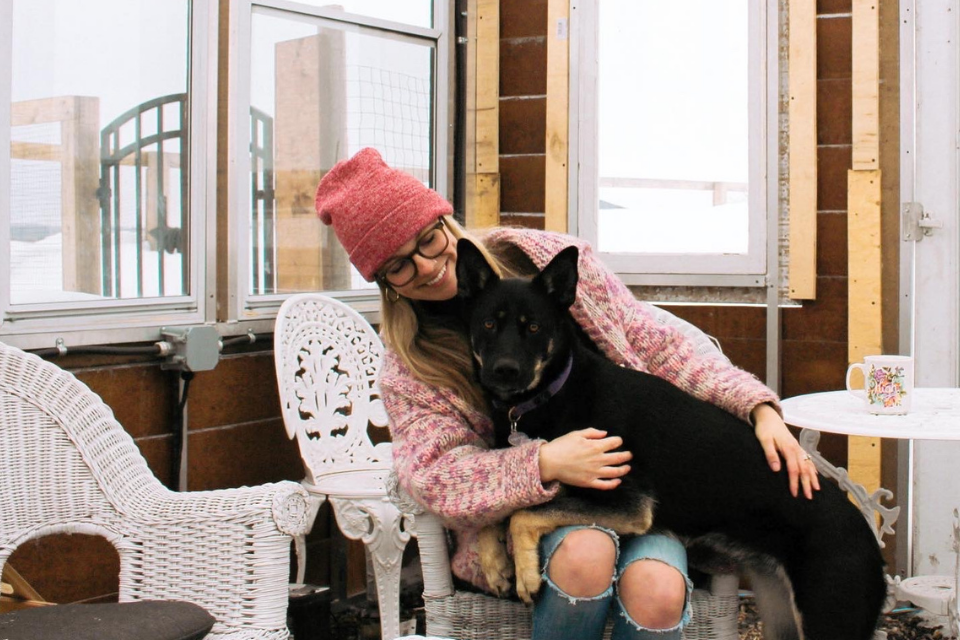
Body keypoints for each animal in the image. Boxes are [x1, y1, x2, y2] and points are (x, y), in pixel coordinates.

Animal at [458, 239, 884, 640]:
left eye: (533, 328)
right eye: (488, 325)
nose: (505, 372)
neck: (552, 392)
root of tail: (870, 538)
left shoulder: (629, 505)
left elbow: (524, 513)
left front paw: (526, 573)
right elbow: (499, 510)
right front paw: (495, 564)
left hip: (828, 620)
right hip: (780, 615)